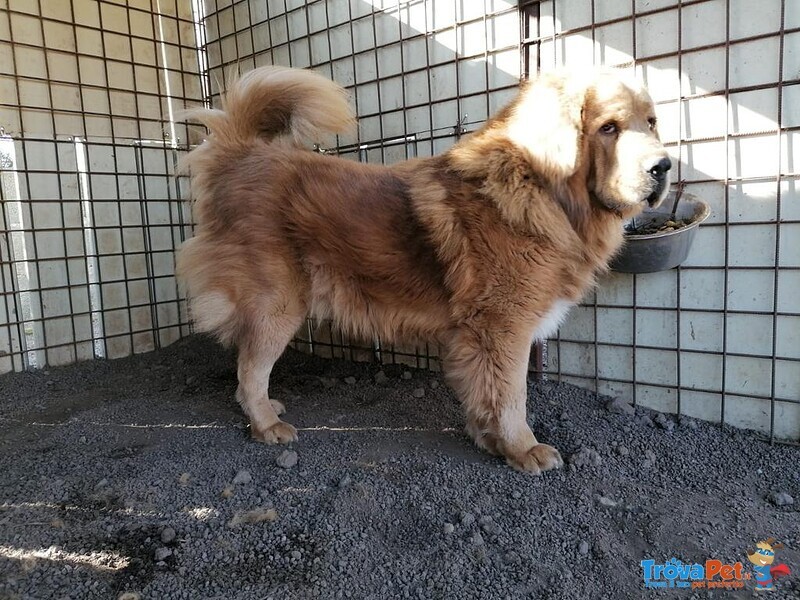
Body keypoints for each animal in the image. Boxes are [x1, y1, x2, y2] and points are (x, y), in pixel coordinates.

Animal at [178, 65, 672, 474]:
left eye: (651, 122)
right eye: (608, 128)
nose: (663, 166)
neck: (539, 188)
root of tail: (242, 154)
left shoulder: (478, 338)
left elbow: (484, 395)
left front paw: (489, 440)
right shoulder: (504, 329)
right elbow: (512, 397)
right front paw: (522, 448)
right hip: (277, 305)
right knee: (249, 370)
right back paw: (264, 424)